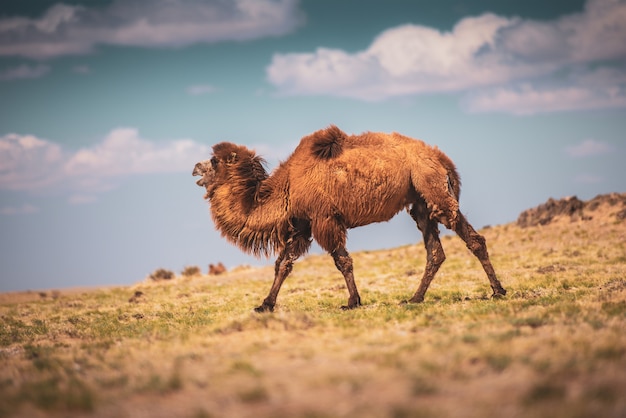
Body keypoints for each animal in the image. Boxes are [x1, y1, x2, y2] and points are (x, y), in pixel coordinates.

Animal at [193, 125, 504, 312]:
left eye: (215, 161)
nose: (195, 168)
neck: (288, 185)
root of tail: (443, 159)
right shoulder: (303, 224)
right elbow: (283, 265)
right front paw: (265, 305)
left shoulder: (324, 218)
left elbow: (342, 261)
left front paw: (352, 301)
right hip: (419, 201)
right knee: (435, 251)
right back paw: (415, 298)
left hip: (432, 185)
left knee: (472, 238)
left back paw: (498, 291)